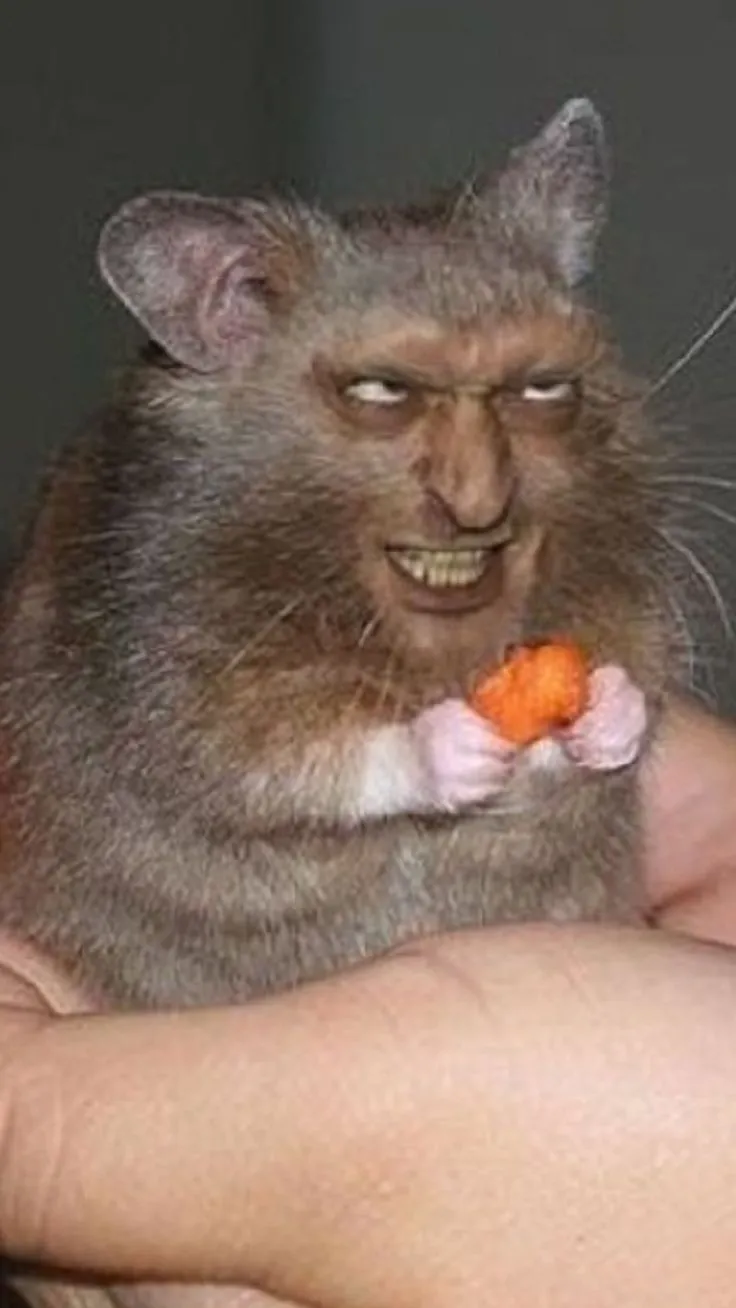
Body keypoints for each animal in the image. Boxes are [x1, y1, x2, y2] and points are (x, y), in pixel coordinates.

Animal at [0, 98, 674, 1011]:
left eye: (542, 387)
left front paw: (601, 714)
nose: (480, 506)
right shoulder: (176, 685)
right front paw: (464, 748)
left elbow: (628, 695)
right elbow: (295, 761)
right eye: (382, 390)